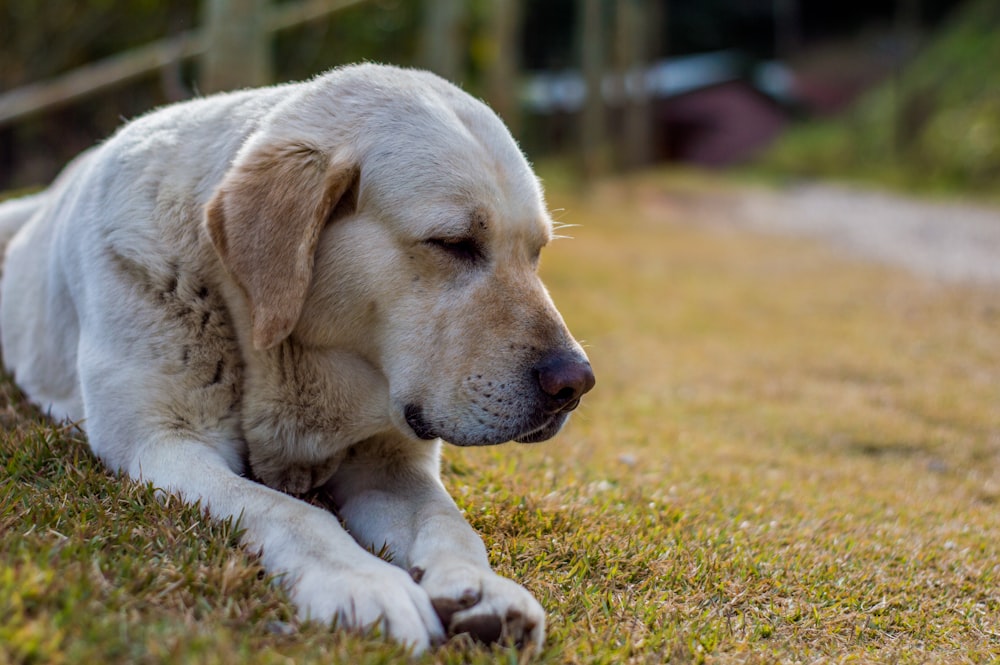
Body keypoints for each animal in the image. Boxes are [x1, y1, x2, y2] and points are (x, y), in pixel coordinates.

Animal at [0, 65, 592, 652]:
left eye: (536, 253)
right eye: (454, 242)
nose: (576, 384)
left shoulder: (388, 463)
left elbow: (450, 524)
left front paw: (480, 587)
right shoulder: (162, 443)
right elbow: (291, 511)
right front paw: (364, 581)